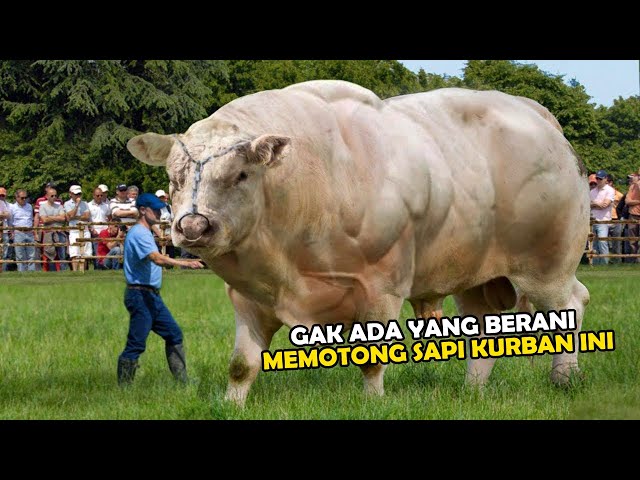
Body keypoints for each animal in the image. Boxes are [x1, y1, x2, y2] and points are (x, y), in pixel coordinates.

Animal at [127, 80, 590, 407]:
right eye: (173, 176)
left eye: (240, 174)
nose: (193, 227)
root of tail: (536, 113)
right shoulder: (247, 297)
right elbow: (242, 364)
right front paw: (232, 404)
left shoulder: (381, 287)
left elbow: (373, 357)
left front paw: (373, 401)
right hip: (476, 275)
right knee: (483, 329)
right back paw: (474, 390)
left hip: (546, 267)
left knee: (570, 305)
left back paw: (565, 379)